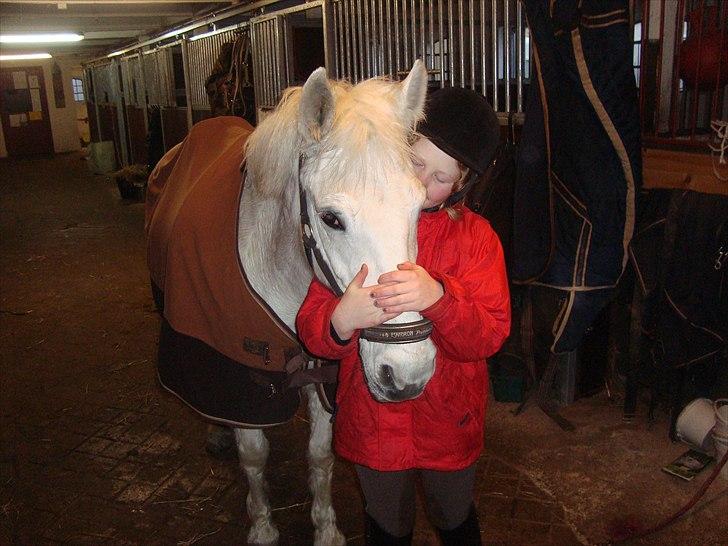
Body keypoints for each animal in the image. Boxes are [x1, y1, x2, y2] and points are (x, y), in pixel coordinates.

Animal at [145, 61, 437, 544]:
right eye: (330, 218)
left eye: (419, 208)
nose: (407, 373)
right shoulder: (241, 380)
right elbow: (254, 456)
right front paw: (263, 526)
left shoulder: (324, 374)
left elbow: (320, 456)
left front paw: (326, 528)